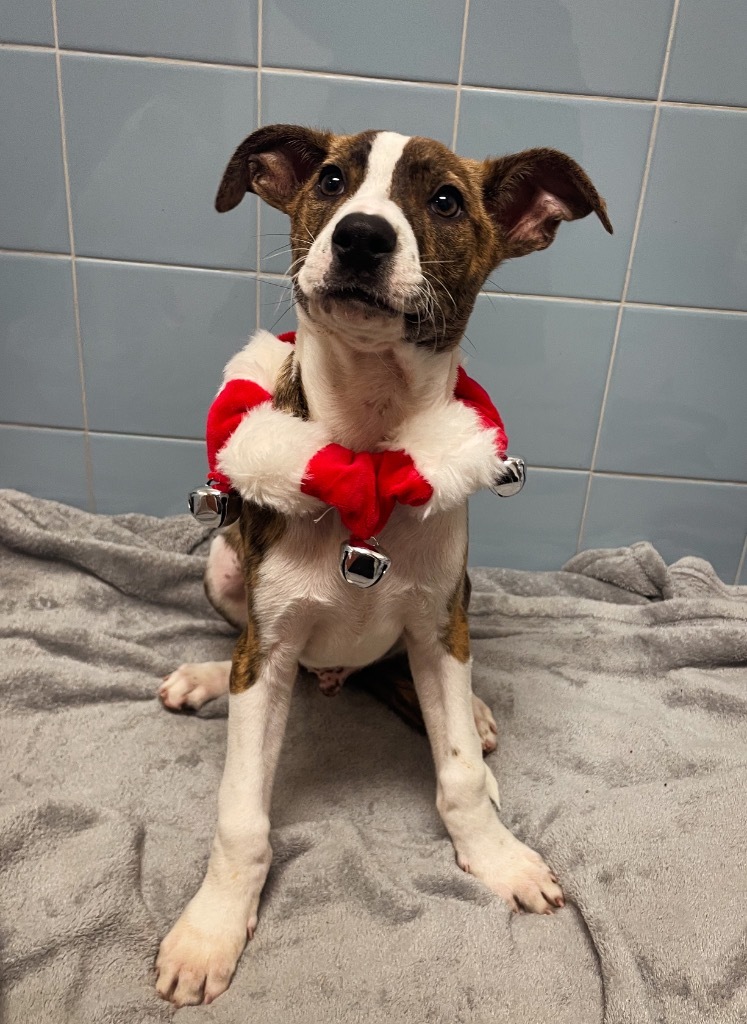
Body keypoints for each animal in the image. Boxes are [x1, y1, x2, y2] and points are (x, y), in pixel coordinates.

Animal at [154, 123, 610, 1003]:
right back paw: (202, 677)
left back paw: (471, 712)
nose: (361, 237)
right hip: (224, 571)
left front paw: (496, 856)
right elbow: (241, 812)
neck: (366, 453)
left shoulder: (437, 622)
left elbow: (458, 773)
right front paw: (211, 929)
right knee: (244, 649)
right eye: (332, 180)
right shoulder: (269, 647)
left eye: (445, 200)